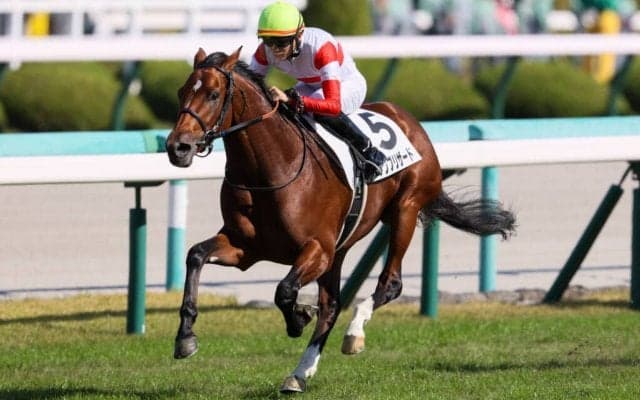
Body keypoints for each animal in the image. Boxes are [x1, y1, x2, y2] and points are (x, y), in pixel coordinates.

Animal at [165, 47, 516, 393]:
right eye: (182, 91)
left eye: (213, 94)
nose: (177, 147)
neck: (271, 169)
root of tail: (408, 120)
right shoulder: (245, 248)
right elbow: (195, 255)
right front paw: (185, 338)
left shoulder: (318, 248)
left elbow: (285, 290)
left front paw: (298, 318)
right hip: (342, 246)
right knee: (333, 305)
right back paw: (299, 373)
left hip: (405, 209)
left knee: (390, 284)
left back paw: (353, 335)